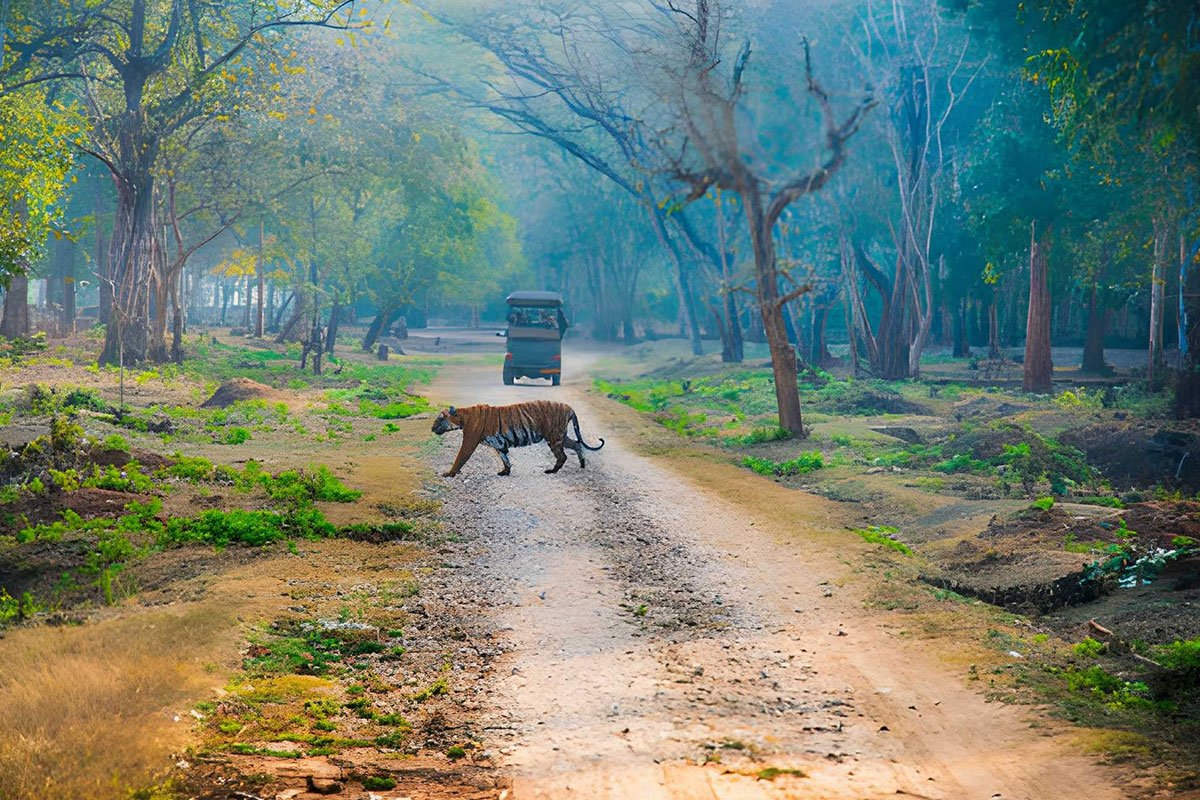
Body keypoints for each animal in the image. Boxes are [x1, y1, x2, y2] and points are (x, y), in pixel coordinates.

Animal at [431, 400, 605, 477]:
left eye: (440, 419)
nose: (431, 428)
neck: (463, 417)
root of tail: (570, 408)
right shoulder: (500, 445)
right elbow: (505, 458)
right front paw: (505, 472)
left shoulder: (469, 441)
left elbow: (460, 457)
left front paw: (449, 473)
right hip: (560, 436)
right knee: (576, 444)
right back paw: (582, 464)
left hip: (554, 437)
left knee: (563, 455)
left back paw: (552, 471)